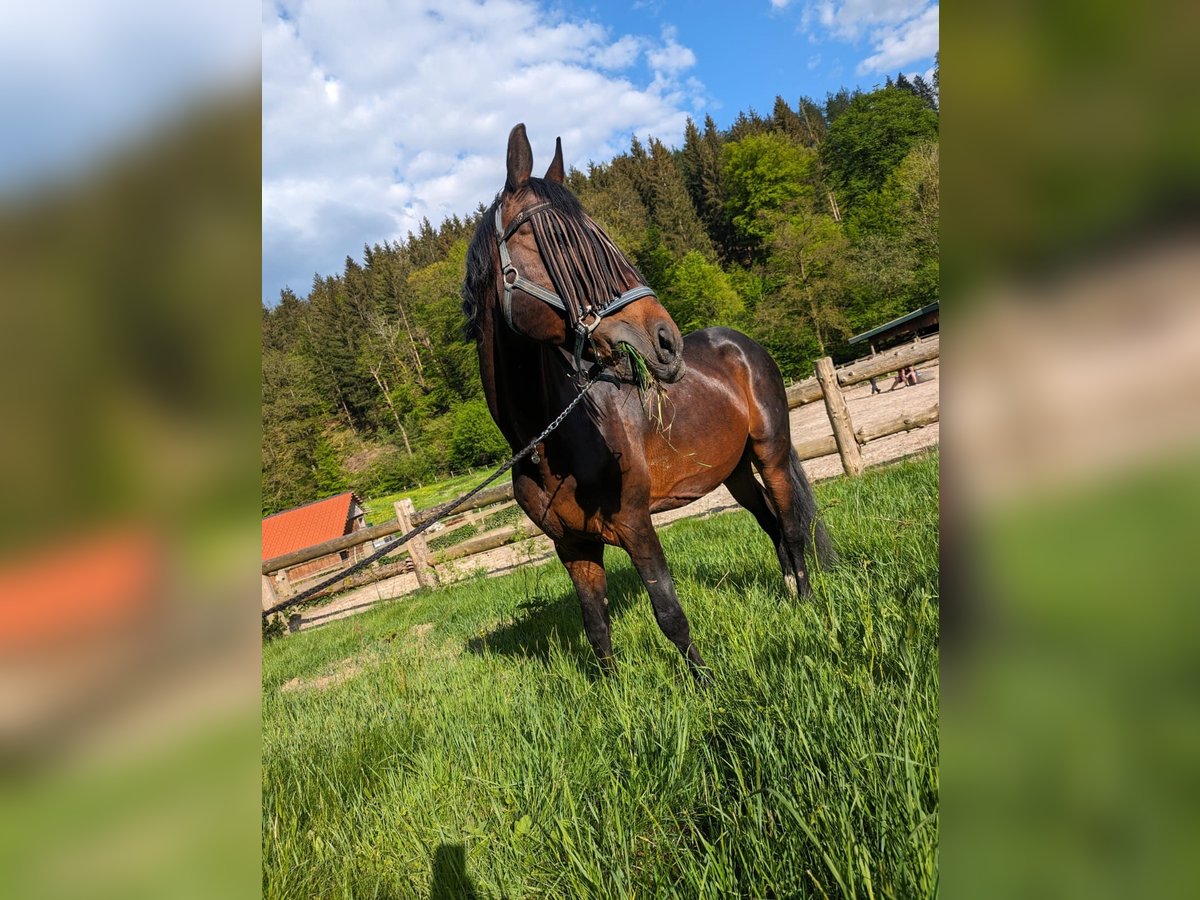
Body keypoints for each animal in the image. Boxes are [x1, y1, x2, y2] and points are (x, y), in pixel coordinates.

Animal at [460, 127, 835, 676]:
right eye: (564, 242)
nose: (666, 341)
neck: (551, 441)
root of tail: (743, 345)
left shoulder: (637, 527)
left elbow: (670, 614)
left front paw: (706, 685)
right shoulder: (572, 546)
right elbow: (597, 629)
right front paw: (614, 691)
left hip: (773, 454)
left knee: (790, 528)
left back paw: (807, 605)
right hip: (736, 471)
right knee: (769, 524)